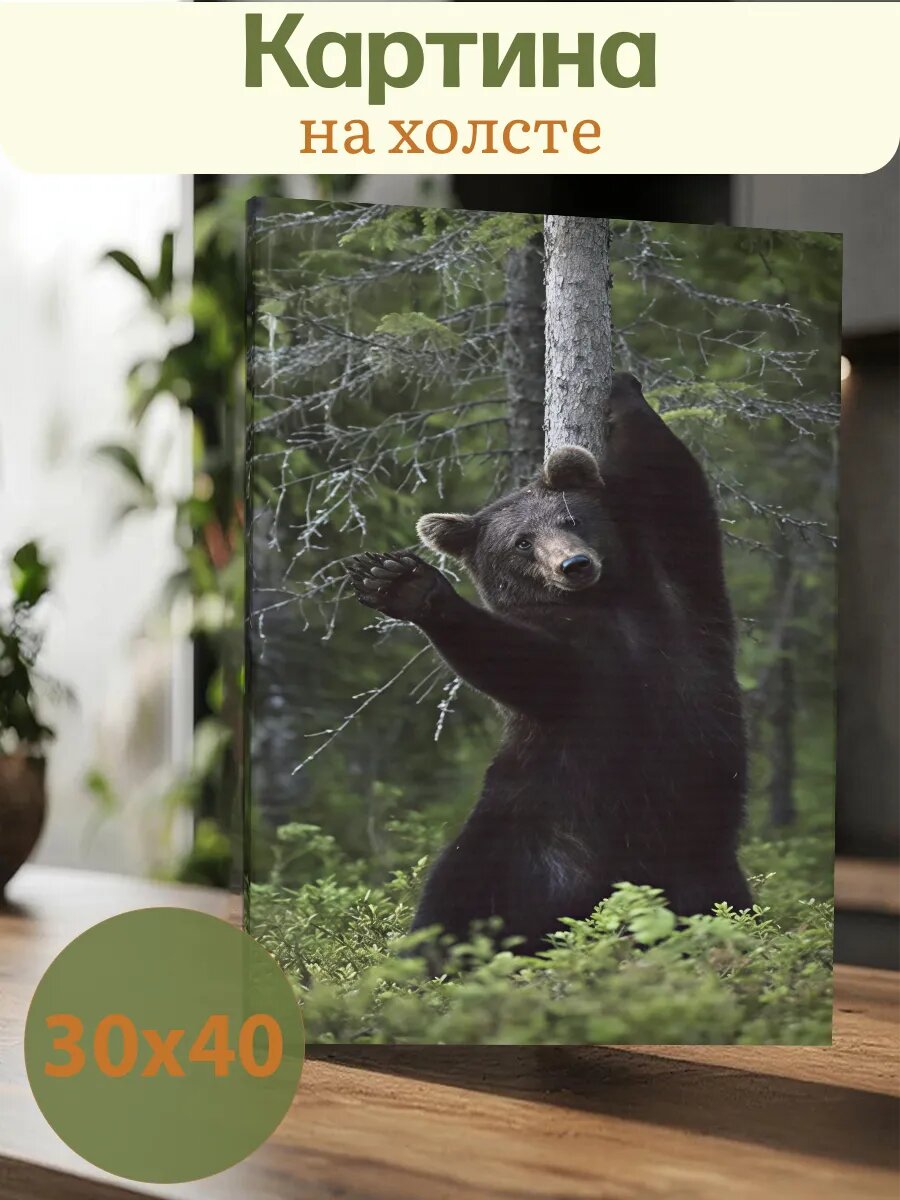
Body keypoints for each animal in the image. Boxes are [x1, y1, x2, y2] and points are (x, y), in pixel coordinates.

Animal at [348, 372, 752, 959]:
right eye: (521, 542)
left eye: (570, 518)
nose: (574, 565)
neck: (608, 605)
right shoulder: (578, 673)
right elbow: (521, 664)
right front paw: (404, 584)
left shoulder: (678, 586)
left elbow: (673, 478)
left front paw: (624, 392)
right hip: (527, 833)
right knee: (454, 902)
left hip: (702, 857)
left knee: (727, 906)